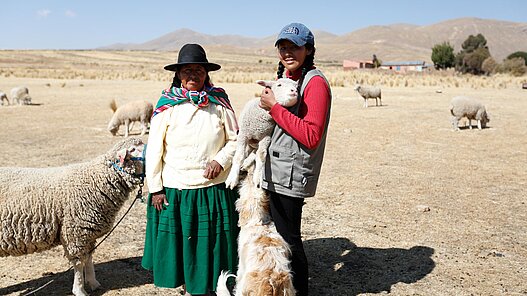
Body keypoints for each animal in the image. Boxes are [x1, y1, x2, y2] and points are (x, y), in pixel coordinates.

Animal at [0, 138, 146, 294]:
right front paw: (79, 289)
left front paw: (93, 282)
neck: (96, 179)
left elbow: (88, 258)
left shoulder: (88, 233)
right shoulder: (76, 232)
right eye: (133, 149)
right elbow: (79, 262)